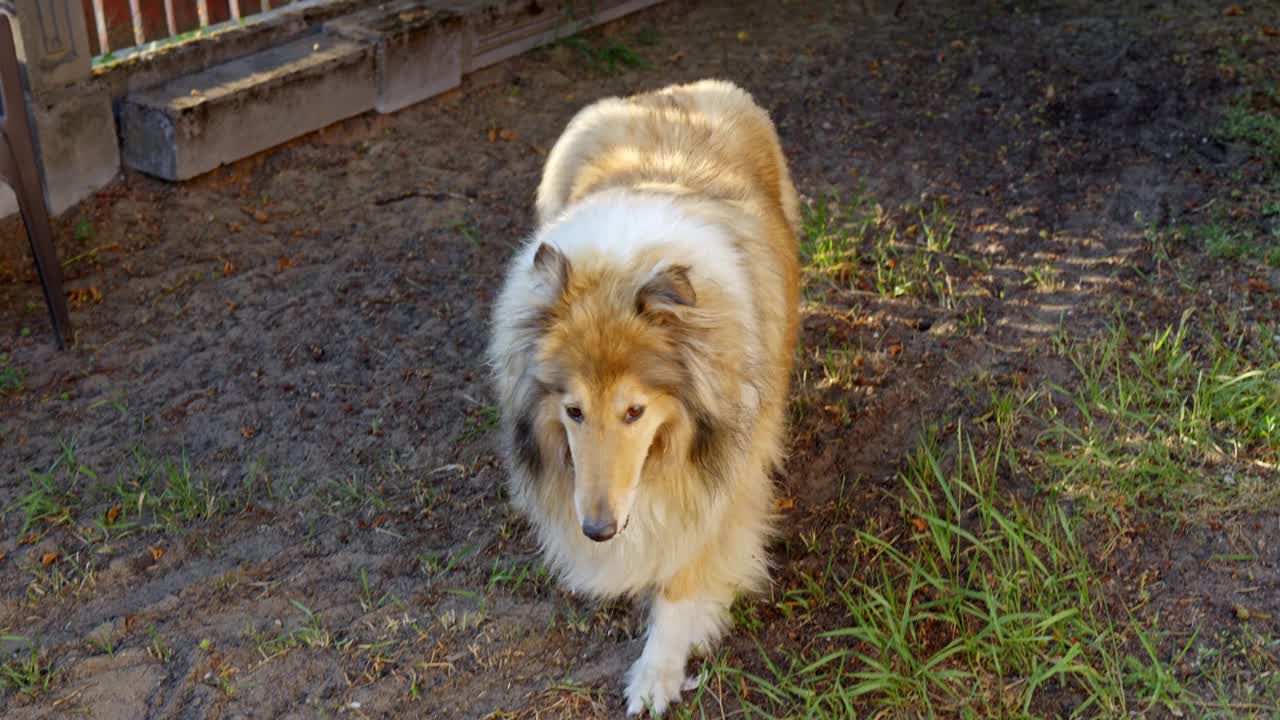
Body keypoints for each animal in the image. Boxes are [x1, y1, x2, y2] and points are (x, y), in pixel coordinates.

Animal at [488, 79, 798, 712]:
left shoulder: (721, 485)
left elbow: (684, 577)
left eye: (635, 411)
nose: (597, 531)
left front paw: (657, 673)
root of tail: (667, 90)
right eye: (573, 411)